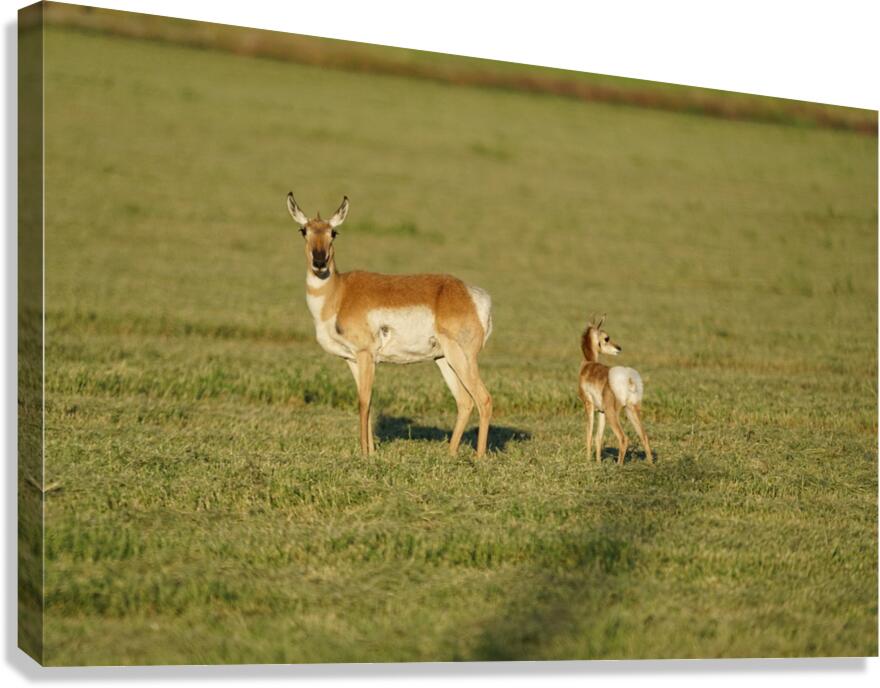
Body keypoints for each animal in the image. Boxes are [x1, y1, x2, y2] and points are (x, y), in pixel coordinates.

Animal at [287, 192, 494, 457]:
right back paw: (450, 454)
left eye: (333, 232)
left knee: (483, 399)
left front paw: (364, 454)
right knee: (465, 402)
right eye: (304, 230)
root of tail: (472, 295)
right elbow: (367, 400)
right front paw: (372, 452)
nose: (320, 262)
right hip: (444, 360)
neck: (339, 293)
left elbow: (364, 401)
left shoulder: (366, 355)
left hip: (462, 358)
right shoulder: (352, 360)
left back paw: (478, 458)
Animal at [578, 315, 653, 465]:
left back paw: (619, 465)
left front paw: (588, 461)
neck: (588, 364)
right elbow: (598, 437)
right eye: (607, 338)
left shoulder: (589, 406)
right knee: (644, 436)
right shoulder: (601, 411)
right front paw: (598, 463)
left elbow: (589, 434)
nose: (619, 348)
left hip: (612, 414)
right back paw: (651, 465)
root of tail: (628, 378)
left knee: (623, 438)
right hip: (631, 410)